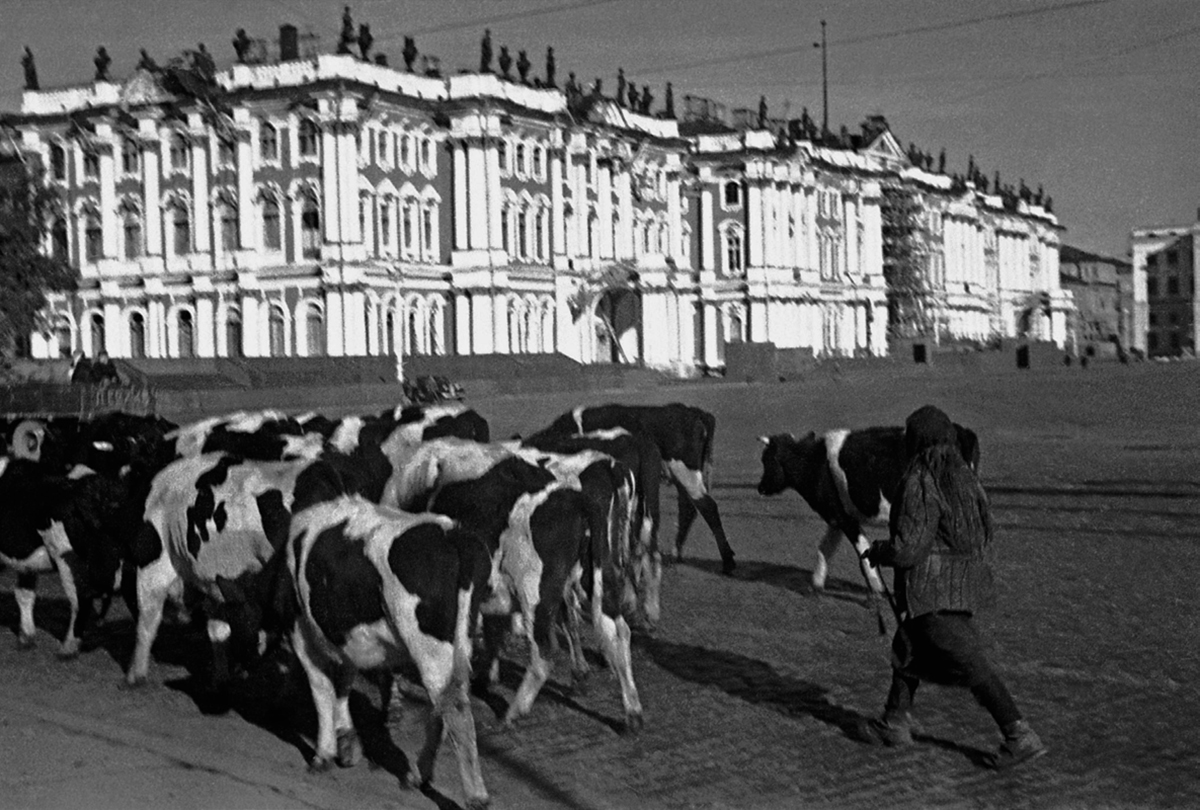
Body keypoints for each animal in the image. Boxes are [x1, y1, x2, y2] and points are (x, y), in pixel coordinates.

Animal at [285, 496, 492, 806]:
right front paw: (346, 742)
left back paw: (474, 795)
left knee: (454, 706)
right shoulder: (345, 638)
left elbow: (320, 688)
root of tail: (453, 533)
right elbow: (343, 681)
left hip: (429, 646)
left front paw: (324, 753)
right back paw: (419, 776)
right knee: (446, 701)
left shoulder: (302, 630)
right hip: (460, 642)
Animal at [540, 403, 734, 573]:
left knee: (707, 506)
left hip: (685, 471)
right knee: (688, 508)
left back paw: (727, 562)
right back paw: (675, 554)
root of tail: (694, 412)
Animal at [758, 424, 984, 602]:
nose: (760, 488)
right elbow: (825, 549)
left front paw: (876, 590)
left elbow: (863, 551)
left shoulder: (845, 520)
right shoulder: (838, 518)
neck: (814, 463)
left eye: (767, 460)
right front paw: (815, 585)